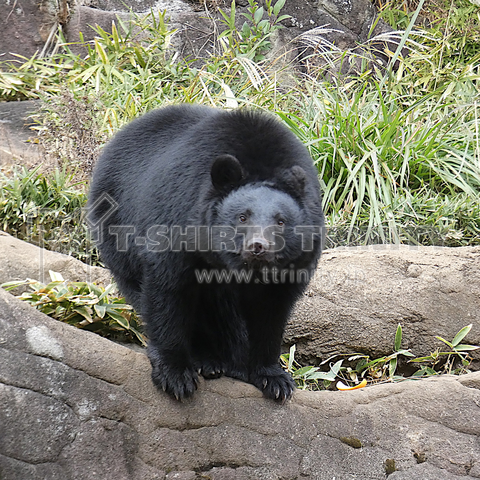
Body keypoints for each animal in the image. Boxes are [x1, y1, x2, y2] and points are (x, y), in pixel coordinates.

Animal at [88, 104, 324, 402]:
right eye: (242, 217)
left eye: (281, 221)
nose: (258, 246)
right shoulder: (178, 219)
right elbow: (168, 290)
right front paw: (176, 375)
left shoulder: (294, 263)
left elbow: (272, 310)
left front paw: (274, 379)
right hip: (117, 225)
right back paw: (208, 360)